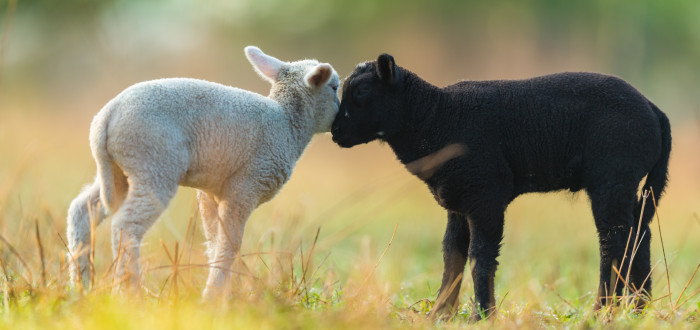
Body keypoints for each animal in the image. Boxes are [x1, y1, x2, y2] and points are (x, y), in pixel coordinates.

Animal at [67, 45, 340, 298]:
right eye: (335, 87)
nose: (339, 119)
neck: (288, 123)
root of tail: (106, 117)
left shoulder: (212, 192)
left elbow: (214, 240)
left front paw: (222, 296)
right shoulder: (246, 186)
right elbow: (231, 243)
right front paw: (213, 296)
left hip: (118, 171)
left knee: (82, 210)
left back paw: (81, 285)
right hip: (154, 164)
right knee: (126, 225)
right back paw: (129, 291)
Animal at [334, 54, 672, 320]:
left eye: (362, 90)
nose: (336, 132)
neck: (436, 117)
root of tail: (654, 109)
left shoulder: (486, 196)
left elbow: (480, 257)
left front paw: (482, 315)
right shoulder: (459, 201)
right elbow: (452, 256)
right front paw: (440, 315)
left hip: (612, 178)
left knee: (614, 241)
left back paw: (604, 311)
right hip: (632, 186)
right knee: (639, 236)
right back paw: (638, 309)